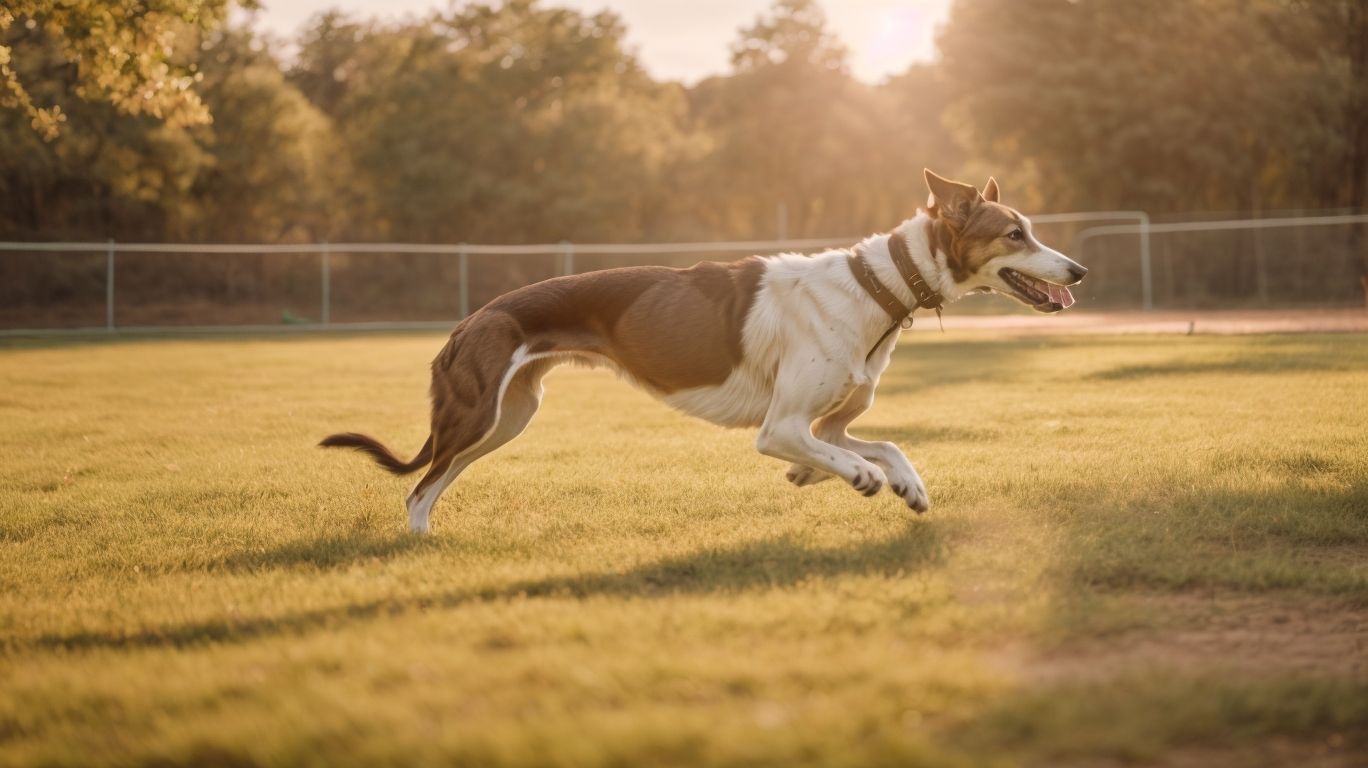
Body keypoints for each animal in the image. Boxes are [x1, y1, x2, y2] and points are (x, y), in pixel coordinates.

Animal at [322, 169, 1088, 531]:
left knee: (432, 485)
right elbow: (844, 460)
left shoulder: (828, 421)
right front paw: (854, 479)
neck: (872, 287)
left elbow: (881, 446)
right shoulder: (781, 428)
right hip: (479, 416)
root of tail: (468, 321)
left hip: (508, 419)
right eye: (1014, 233)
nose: (1077, 272)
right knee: (418, 489)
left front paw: (898, 483)